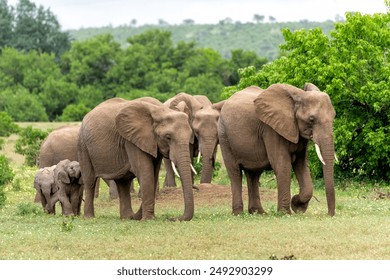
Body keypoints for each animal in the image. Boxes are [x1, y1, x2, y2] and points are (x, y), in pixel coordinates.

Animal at [218, 83, 336, 217]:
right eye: (311, 119)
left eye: (334, 116)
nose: (329, 214)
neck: (298, 96)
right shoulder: (271, 129)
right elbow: (282, 164)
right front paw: (286, 213)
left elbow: (301, 164)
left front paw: (297, 207)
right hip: (224, 136)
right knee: (235, 173)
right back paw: (238, 214)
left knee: (254, 174)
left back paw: (259, 213)